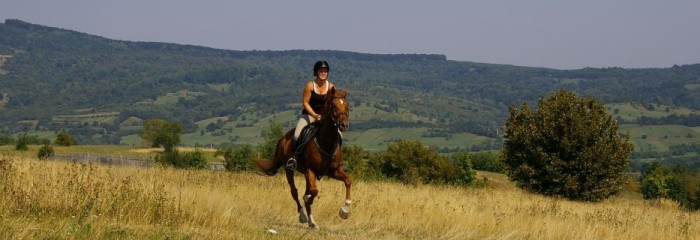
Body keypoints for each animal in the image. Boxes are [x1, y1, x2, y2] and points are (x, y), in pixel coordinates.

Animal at [256, 87, 350, 229]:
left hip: (306, 174)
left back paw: (312, 222)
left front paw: (344, 211)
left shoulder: (333, 171)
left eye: (347, 106)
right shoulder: (310, 170)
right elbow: (313, 192)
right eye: (334, 106)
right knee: (294, 192)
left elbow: (348, 182)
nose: (344, 125)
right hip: (289, 169)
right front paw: (307, 199)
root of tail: (283, 139)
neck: (326, 142)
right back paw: (303, 217)